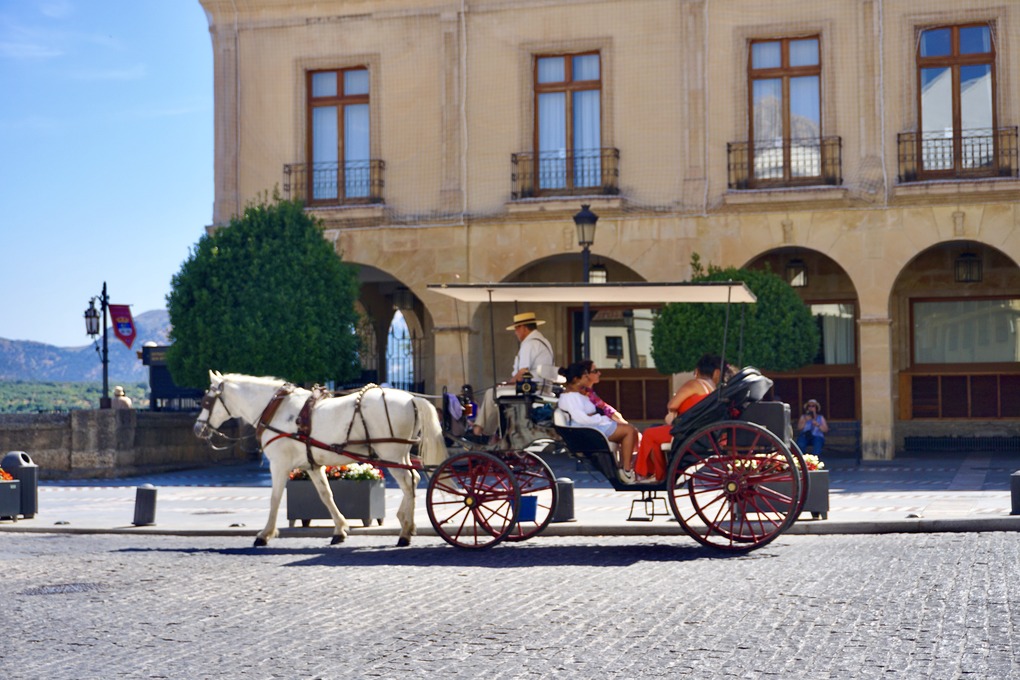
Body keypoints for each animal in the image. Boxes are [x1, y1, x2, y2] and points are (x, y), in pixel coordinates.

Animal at [191, 373, 446, 546]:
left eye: (206, 402)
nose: (197, 429)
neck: (276, 410)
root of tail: (411, 399)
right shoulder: (312, 466)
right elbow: (326, 495)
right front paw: (340, 529)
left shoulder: (279, 465)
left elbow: (275, 499)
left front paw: (265, 534)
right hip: (399, 454)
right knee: (413, 480)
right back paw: (406, 523)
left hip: (389, 453)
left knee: (408, 483)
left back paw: (405, 531)